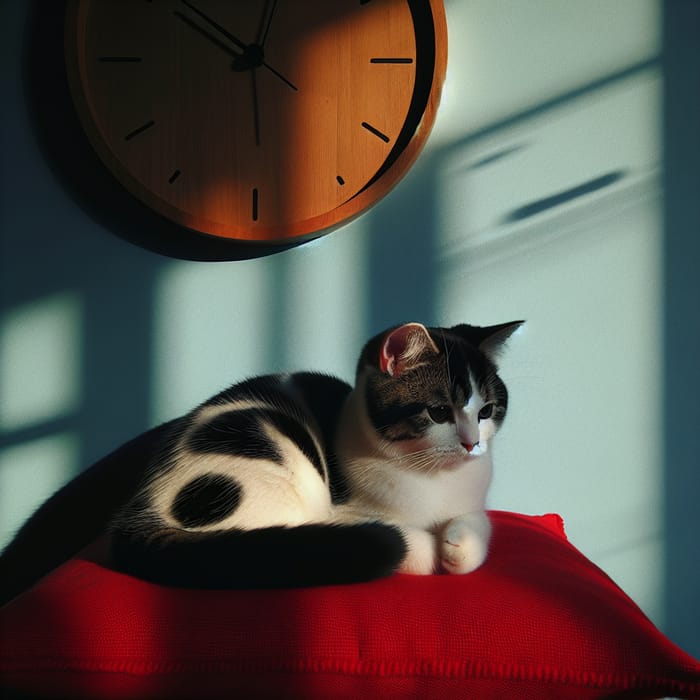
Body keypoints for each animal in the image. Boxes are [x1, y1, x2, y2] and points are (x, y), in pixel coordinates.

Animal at [109, 320, 524, 588]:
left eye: (486, 411)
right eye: (438, 412)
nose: (472, 443)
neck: (431, 477)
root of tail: (140, 509)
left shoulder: (473, 498)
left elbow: (479, 523)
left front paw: (459, 546)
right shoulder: (342, 511)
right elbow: (405, 541)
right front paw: (431, 550)